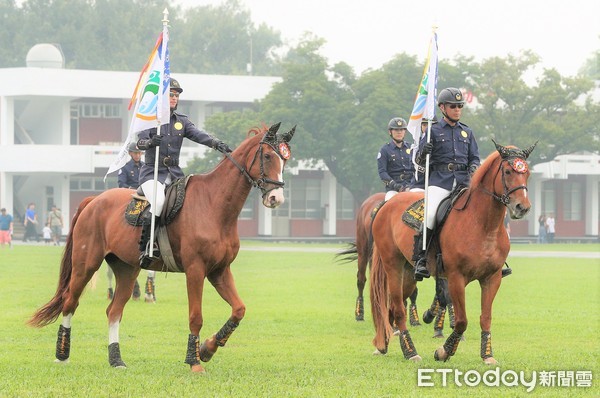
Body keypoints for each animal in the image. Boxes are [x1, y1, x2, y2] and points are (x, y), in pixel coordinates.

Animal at [28, 122, 296, 374]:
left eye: (285, 159)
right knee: (70, 303)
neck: (214, 205)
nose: (276, 198)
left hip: (126, 269)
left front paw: (207, 349)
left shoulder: (219, 271)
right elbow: (196, 317)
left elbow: (239, 309)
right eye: (268, 156)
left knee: (114, 311)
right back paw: (62, 355)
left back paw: (116, 359)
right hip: (86, 265)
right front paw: (194, 361)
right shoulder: (196, 270)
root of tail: (94, 200)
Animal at [370, 141, 536, 362]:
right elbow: (461, 320)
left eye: (527, 174)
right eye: (508, 171)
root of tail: (387, 204)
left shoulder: (492, 278)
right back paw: (410, 351)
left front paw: (487, 355)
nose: (522, 207)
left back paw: (383, 345)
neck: (483, 225)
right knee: (397, 309)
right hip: (393, 267)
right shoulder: (456, 277)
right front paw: (444, 351)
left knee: (391, 308)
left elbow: (485, 317)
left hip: (408, 273)